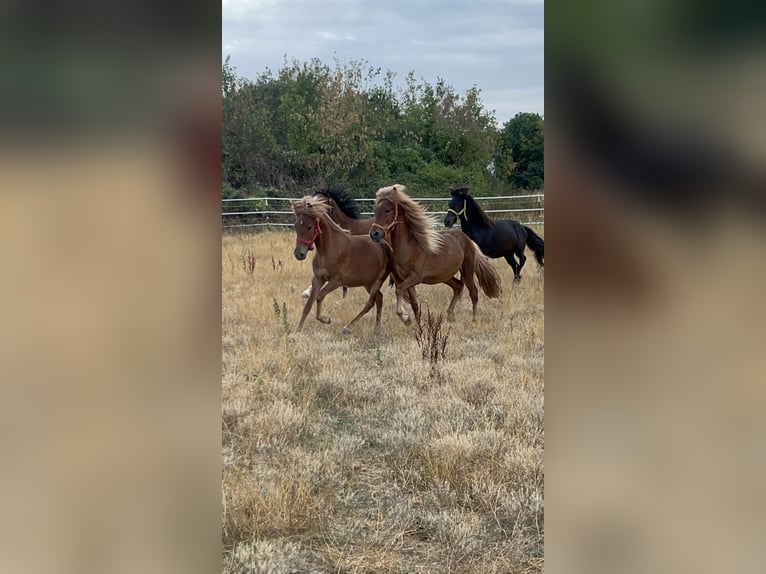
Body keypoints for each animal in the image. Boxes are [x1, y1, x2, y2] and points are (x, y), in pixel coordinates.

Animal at [292, 196, 393, 334]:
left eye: (309, 227)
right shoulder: (318, 278)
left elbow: (319, 296)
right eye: (296, 226)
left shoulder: (337, 281)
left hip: (378, 280)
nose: (299, 254)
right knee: (379, 298)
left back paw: (348, 327)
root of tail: (386, 246)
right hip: (368, 282)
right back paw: (377, 328)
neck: (329, 249)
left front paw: (326, 319)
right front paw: (296, 332)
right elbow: (308, 304)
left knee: (371, 302)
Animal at [369, 184, 502, 325]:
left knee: (474, 293)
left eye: (387, 210)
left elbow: (399, 289)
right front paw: (418, 325)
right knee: (458, 286)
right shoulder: (406, 280)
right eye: (376, 210)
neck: (409, 248)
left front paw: (405, 317)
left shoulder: (415, 277)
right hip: (445, 275)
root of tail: (468, 240)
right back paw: (450, 316)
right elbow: (414, 304)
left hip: (467, 271)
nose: (374, 234)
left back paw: (474, 320)